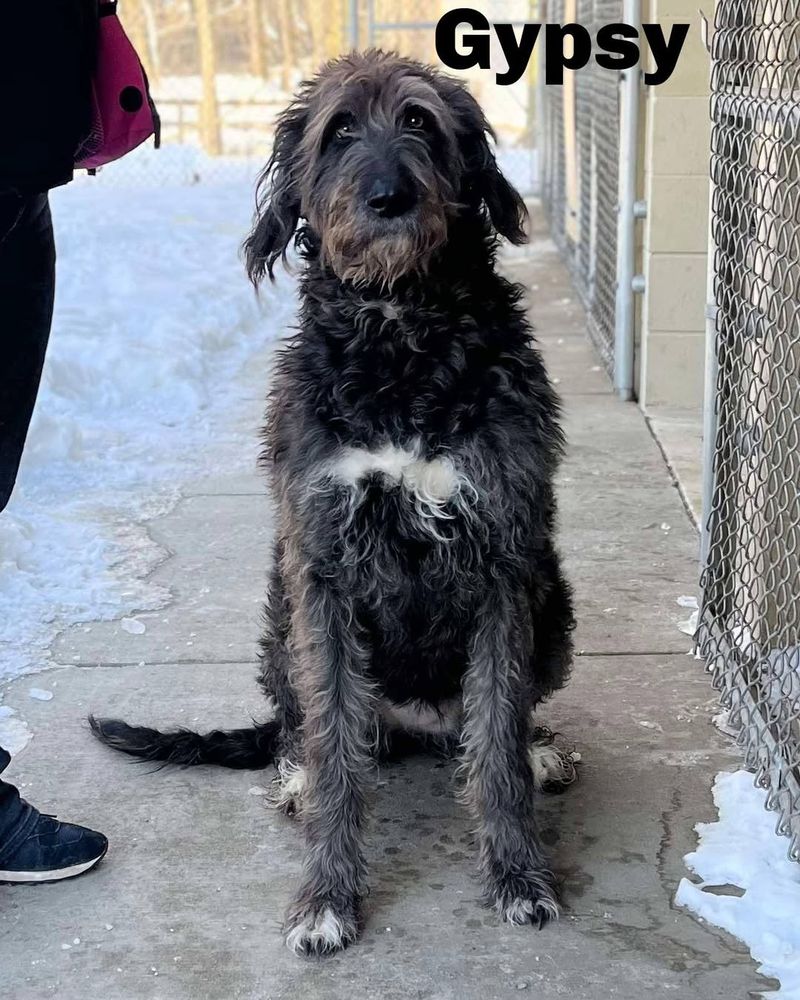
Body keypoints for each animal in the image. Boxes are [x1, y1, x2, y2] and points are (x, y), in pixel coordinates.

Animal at [92, 50, 576, 956]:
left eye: (419, 121)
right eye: (340, 130)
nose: (389, 199)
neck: (401, 338)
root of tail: (416, 722)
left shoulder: (503, 555)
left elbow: (496, 739)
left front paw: (518, 873)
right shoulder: (322, 565)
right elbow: (335, 751)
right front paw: (326, 897)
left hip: (554, 599)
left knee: (495, 718)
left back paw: (540, 752)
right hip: (282, 619)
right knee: (310, 726)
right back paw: (294, 775)